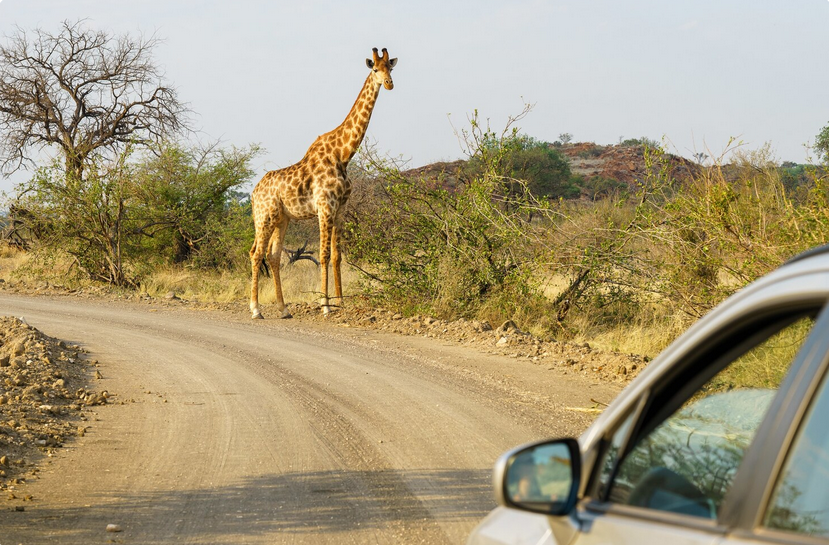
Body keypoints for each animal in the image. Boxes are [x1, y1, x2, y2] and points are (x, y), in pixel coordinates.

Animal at [249, 47, 398, 319]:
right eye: (374, 69)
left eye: (390, 68)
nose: (390, 84)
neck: (343, 154)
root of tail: (253, 194)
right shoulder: (325, 207)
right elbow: (324, 254)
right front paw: (326, 305)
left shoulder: (340, 209)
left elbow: (338, 256)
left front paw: (341, 302)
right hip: (264, 217)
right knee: (256, 254)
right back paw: (255, 309)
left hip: (282, 219)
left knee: (273, 256)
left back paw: (284, 309)